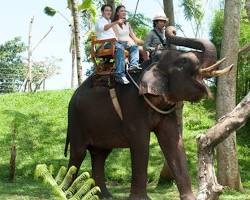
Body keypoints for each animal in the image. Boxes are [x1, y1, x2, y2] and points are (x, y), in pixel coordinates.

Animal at [64, 27, 230, 200]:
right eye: (184, 61)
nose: (171, 29)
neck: (150, 64)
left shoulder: (166, 111)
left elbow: (173, 141)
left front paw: (190, 198)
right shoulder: (132, 105)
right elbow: (140, 141)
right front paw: (140, 198)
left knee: (100, 154)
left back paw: (105, 196)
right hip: (76, 120)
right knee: (78, 153)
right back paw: (66, 192)